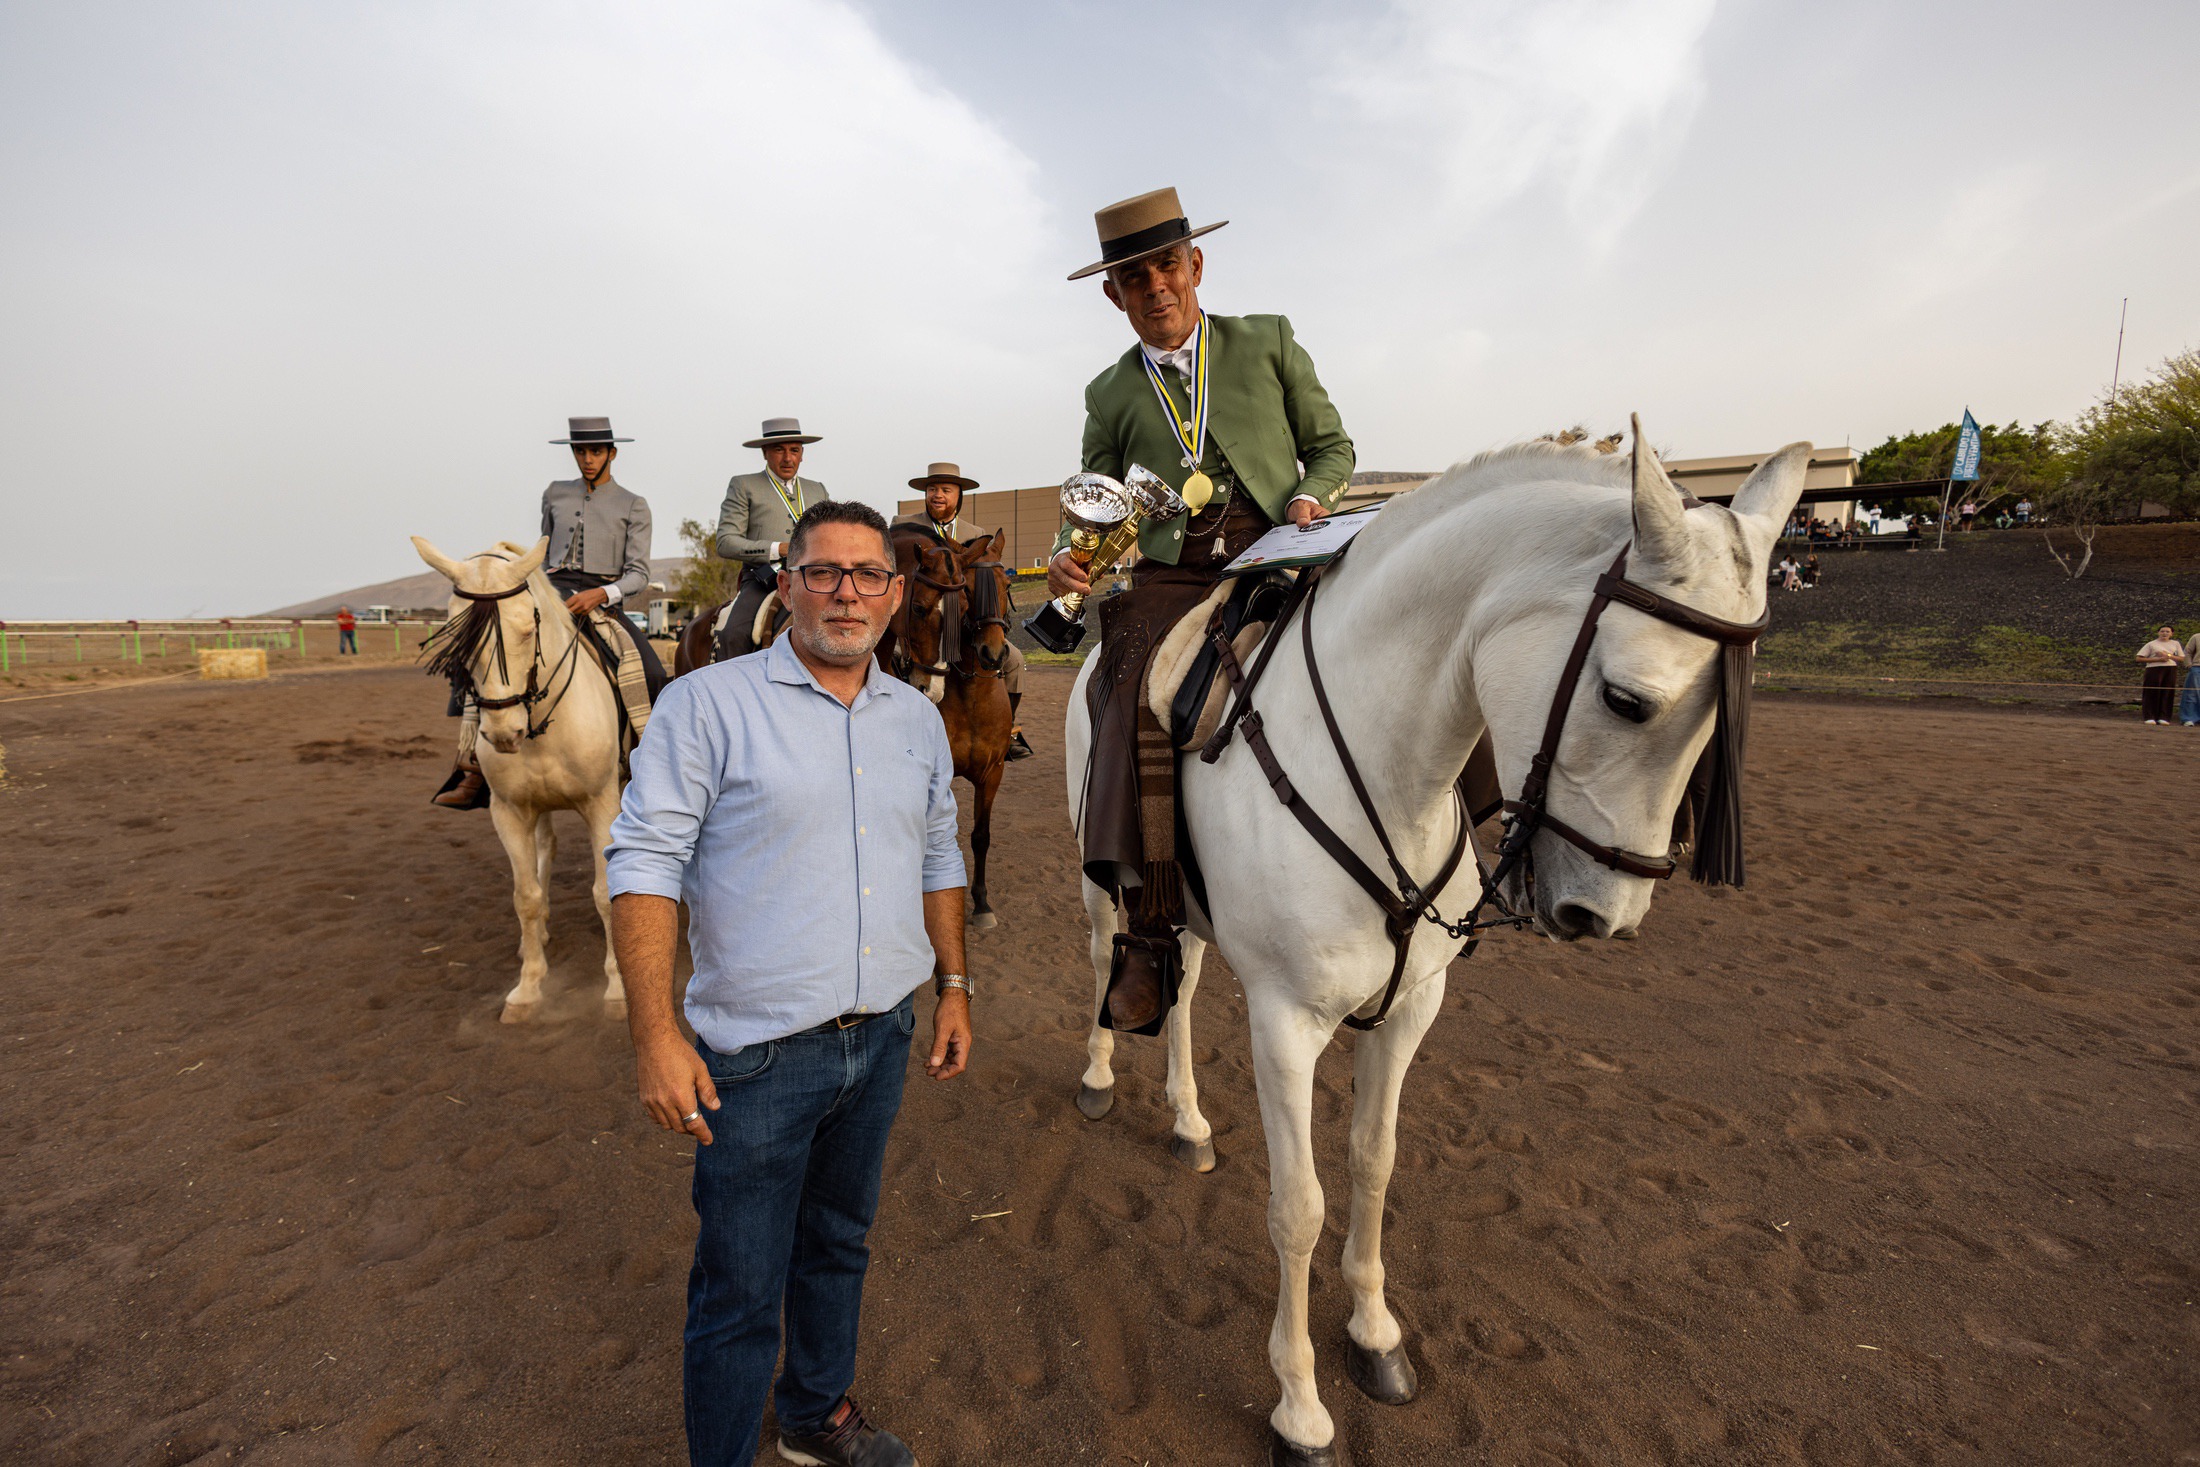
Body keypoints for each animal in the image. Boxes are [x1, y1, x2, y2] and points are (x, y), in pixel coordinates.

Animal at [413, 535, 627, 1024]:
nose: (503, 733)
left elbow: (606, 892)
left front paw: (617, 988)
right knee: (545, 848)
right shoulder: (509, 812)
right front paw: (528, 989)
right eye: (457, 638)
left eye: (527, 629)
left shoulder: (602, 804)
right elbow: (524, 896)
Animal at [890, 528, 1015, 928]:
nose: (993, 653)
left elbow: (980, 836)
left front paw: (982, 903)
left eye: (1007, 584)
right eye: (970, 590)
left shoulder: (993, 772)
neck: (972, 695)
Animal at [1065, 425, 1809, 1463]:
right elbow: (1298, 1207)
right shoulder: (1286, 1024)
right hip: (1106, 886)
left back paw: (1188, 1121)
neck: (1386, 772)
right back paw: (1099, 1074)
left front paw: (1375, 1335)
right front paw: (1300, 1405)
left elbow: (1374, 1162)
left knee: (1184, 987)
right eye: (1626, 699)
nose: (1606, 915)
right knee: (1111, 961)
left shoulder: (1412, 1006)